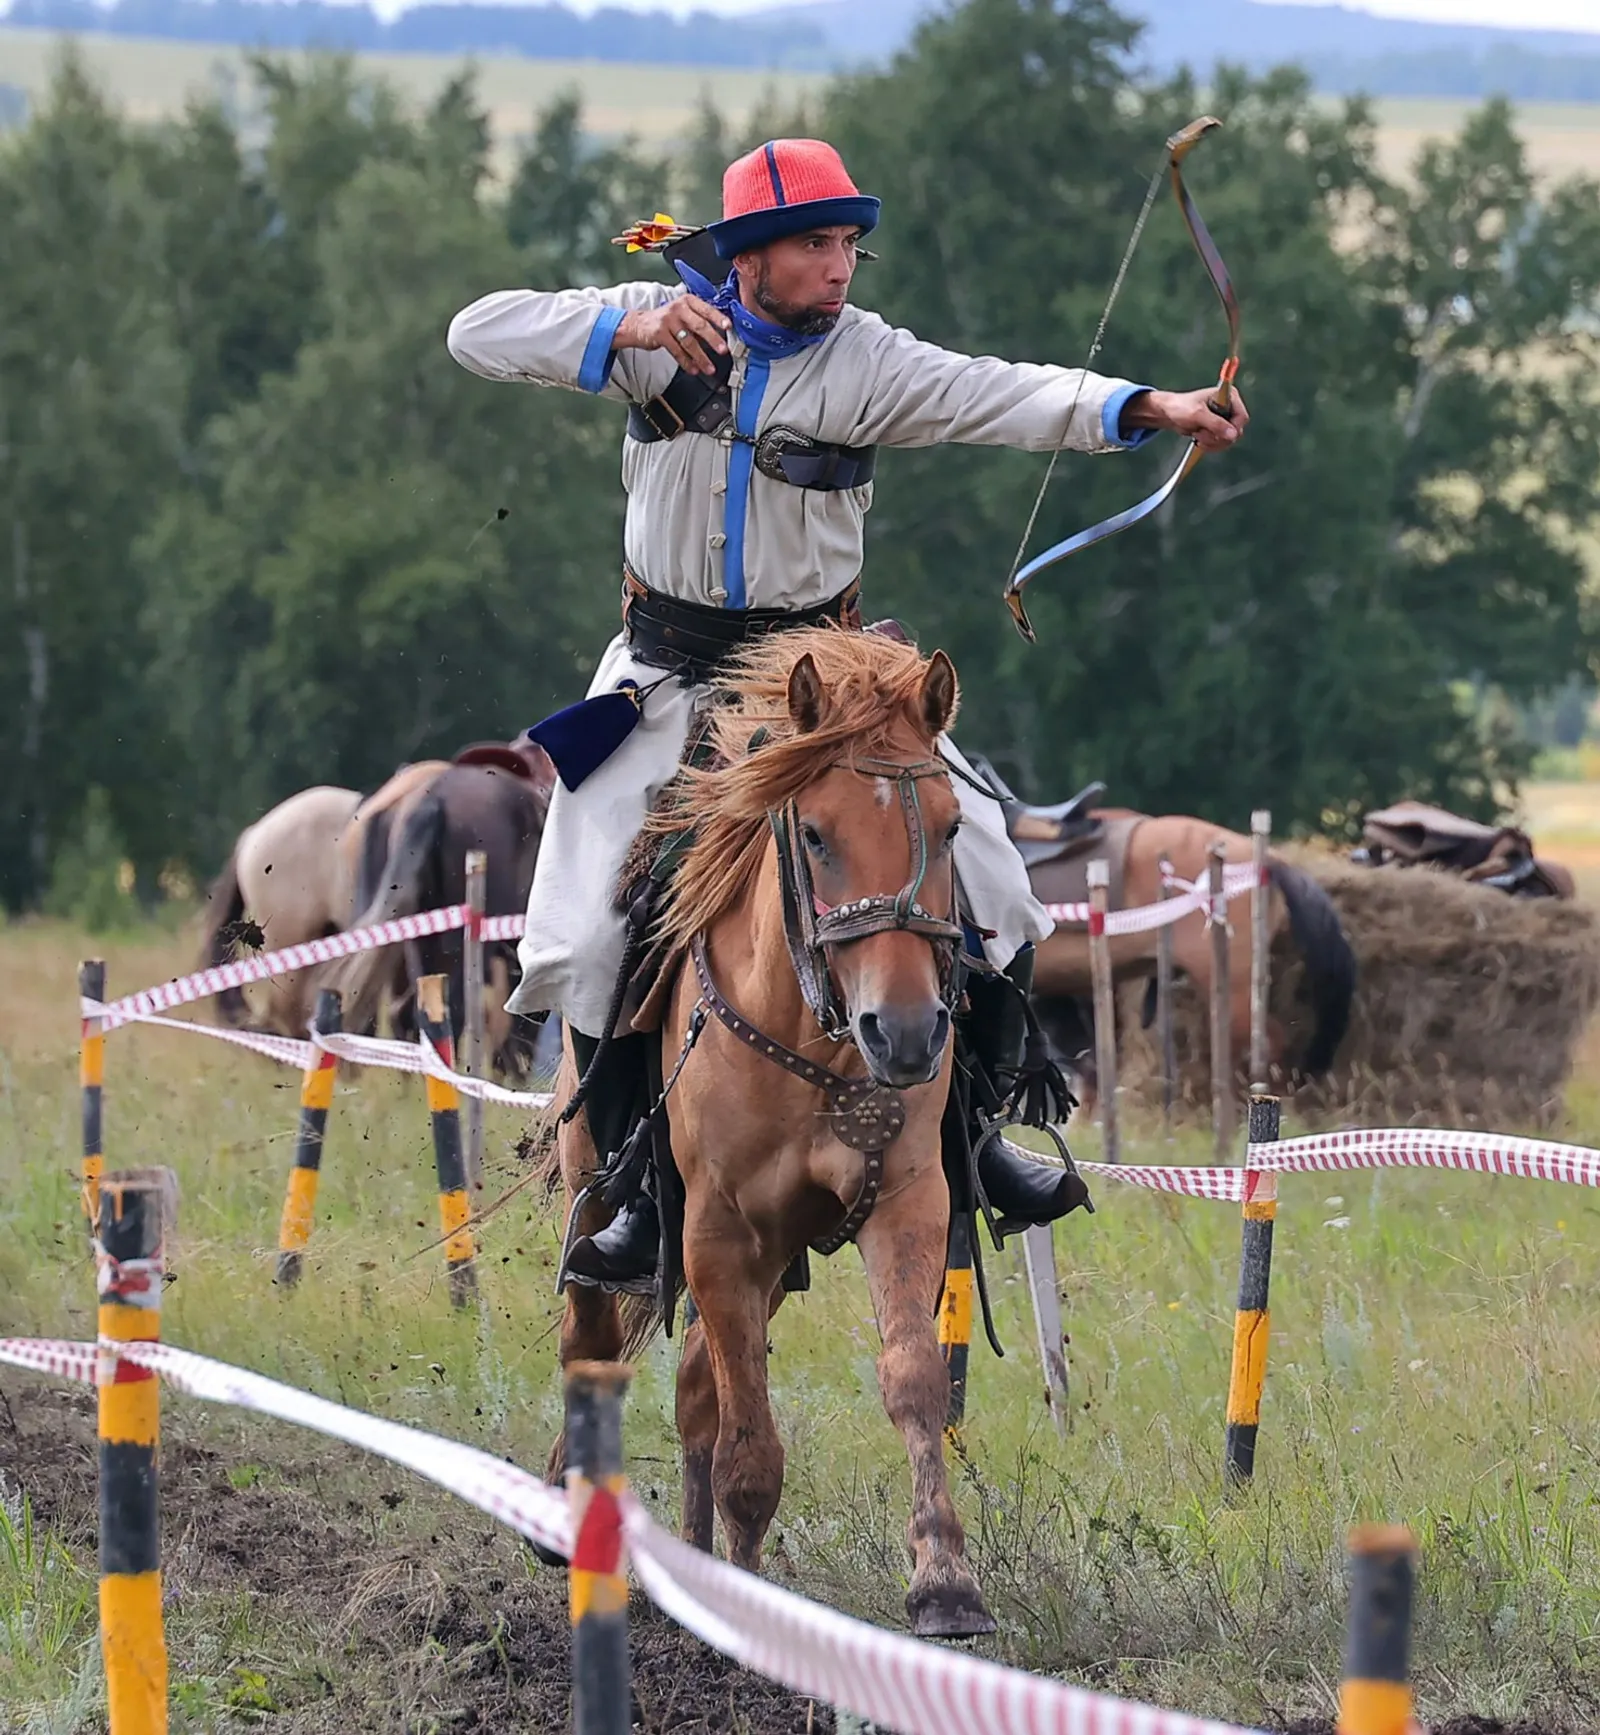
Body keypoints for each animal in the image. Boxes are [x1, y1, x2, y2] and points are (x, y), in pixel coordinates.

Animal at [549, 626, 997, 1637]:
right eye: (818, 833)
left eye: (953, 826)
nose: (904, 1034)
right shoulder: (719, 1233)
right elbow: (750, 1441)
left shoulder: (905, 1202)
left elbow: (911, 1376)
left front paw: (945, 1580)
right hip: (603, 1190)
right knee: (594, 1340)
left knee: (695, 1396)